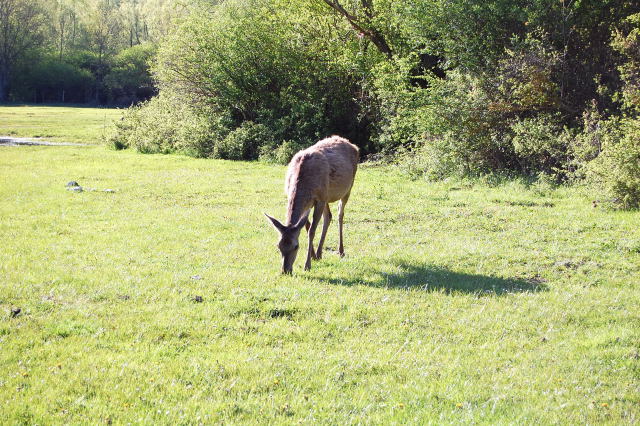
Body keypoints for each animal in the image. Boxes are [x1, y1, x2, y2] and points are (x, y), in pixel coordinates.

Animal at [262, 137, 358, 276]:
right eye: (278, 246)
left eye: (296, 246)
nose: (285, 270)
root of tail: (352, 145)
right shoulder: (311, 202)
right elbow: (307, 227)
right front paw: (312, 255)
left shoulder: (319, 199)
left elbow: (312, 231)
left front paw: (307, 265)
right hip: (326, 195)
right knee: (328, 216)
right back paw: (319, 253)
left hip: (348, 187)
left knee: (340, 214)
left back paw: (341, 251)